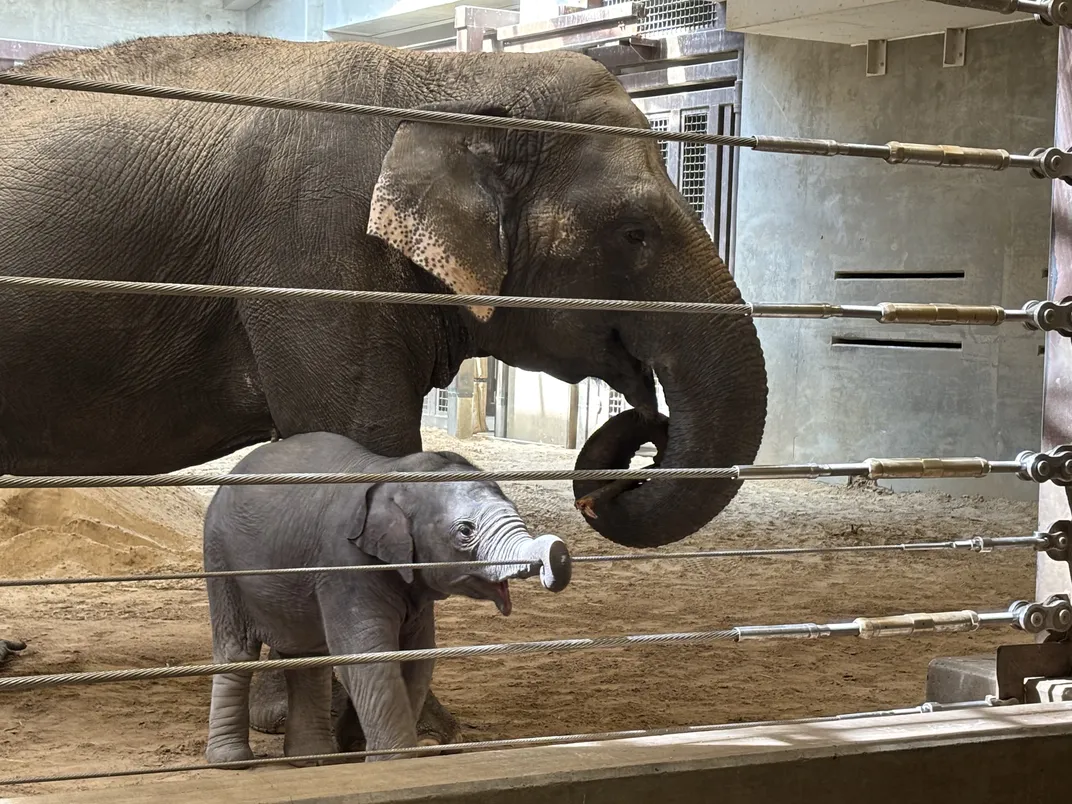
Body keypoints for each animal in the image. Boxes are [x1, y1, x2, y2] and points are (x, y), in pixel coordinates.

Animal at [202, 431, 571, 764]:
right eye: (466, 531)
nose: (559, 553)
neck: (393, 470)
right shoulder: (345, 564)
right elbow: (368, 655)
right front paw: (390, 762)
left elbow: (418, 654)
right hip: (220, 560)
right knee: (238, 650)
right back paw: (233, 761)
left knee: (307, 657)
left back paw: (314, 760)